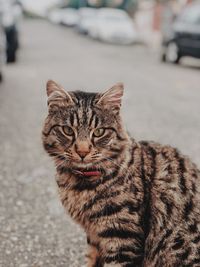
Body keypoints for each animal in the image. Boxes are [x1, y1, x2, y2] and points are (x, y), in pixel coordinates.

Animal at [42, 80, 200, 266]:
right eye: (67, 130)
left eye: (99, 132)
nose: (82, 151)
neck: (81, 185)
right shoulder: (95, 236)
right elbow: (91, 261)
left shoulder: (122, 237)